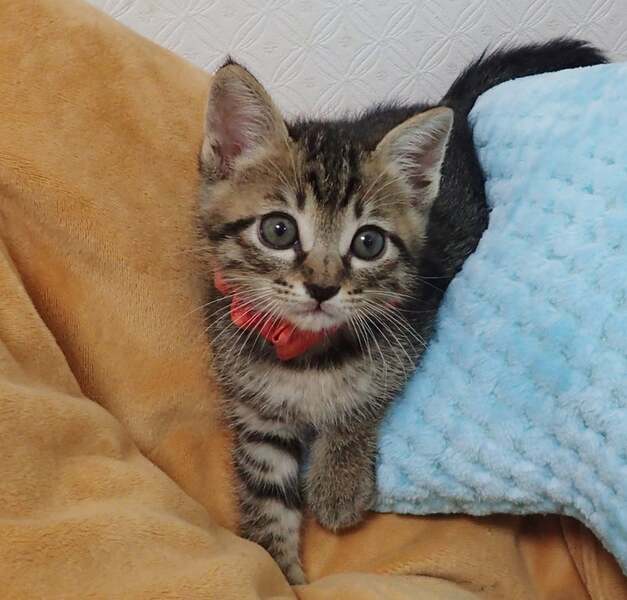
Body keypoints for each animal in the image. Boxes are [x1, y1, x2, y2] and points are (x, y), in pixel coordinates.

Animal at [197, 39, 606, 584]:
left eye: (368, 243)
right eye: (278, 231)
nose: (323, 287)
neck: (307, 353)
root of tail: (448, 101)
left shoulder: (412, 329)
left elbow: (365, 398)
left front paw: (338, 482)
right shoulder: (254, 409)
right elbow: (266, 499)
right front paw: (282, 573)